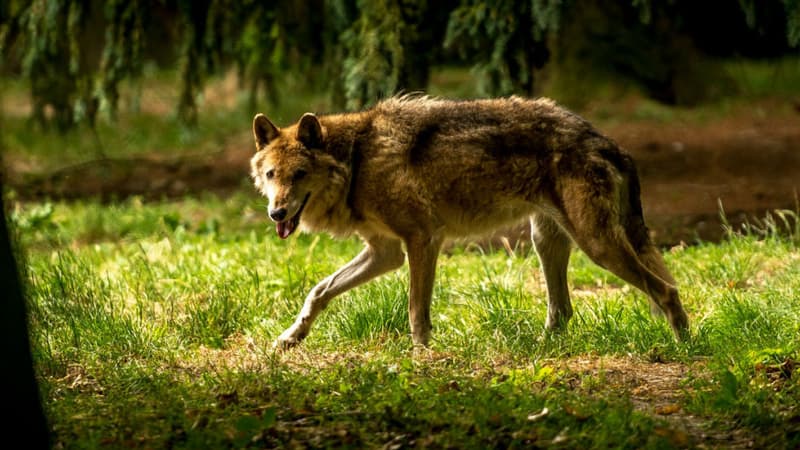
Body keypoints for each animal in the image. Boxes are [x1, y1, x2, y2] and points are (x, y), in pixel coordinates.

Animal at [250, 95, 688, 348]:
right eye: (272, 175)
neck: (357, 160)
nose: (276, 213)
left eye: (299, 175)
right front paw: (290, 337)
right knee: (563, 310)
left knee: (667, 290)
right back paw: (538, 348)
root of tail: (607, 141)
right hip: (547, 241)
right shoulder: (385, 252)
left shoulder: (422, 240)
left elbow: (415, 310)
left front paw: (420, 356)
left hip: (596, 246)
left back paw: (684, 347)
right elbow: (319, 291)